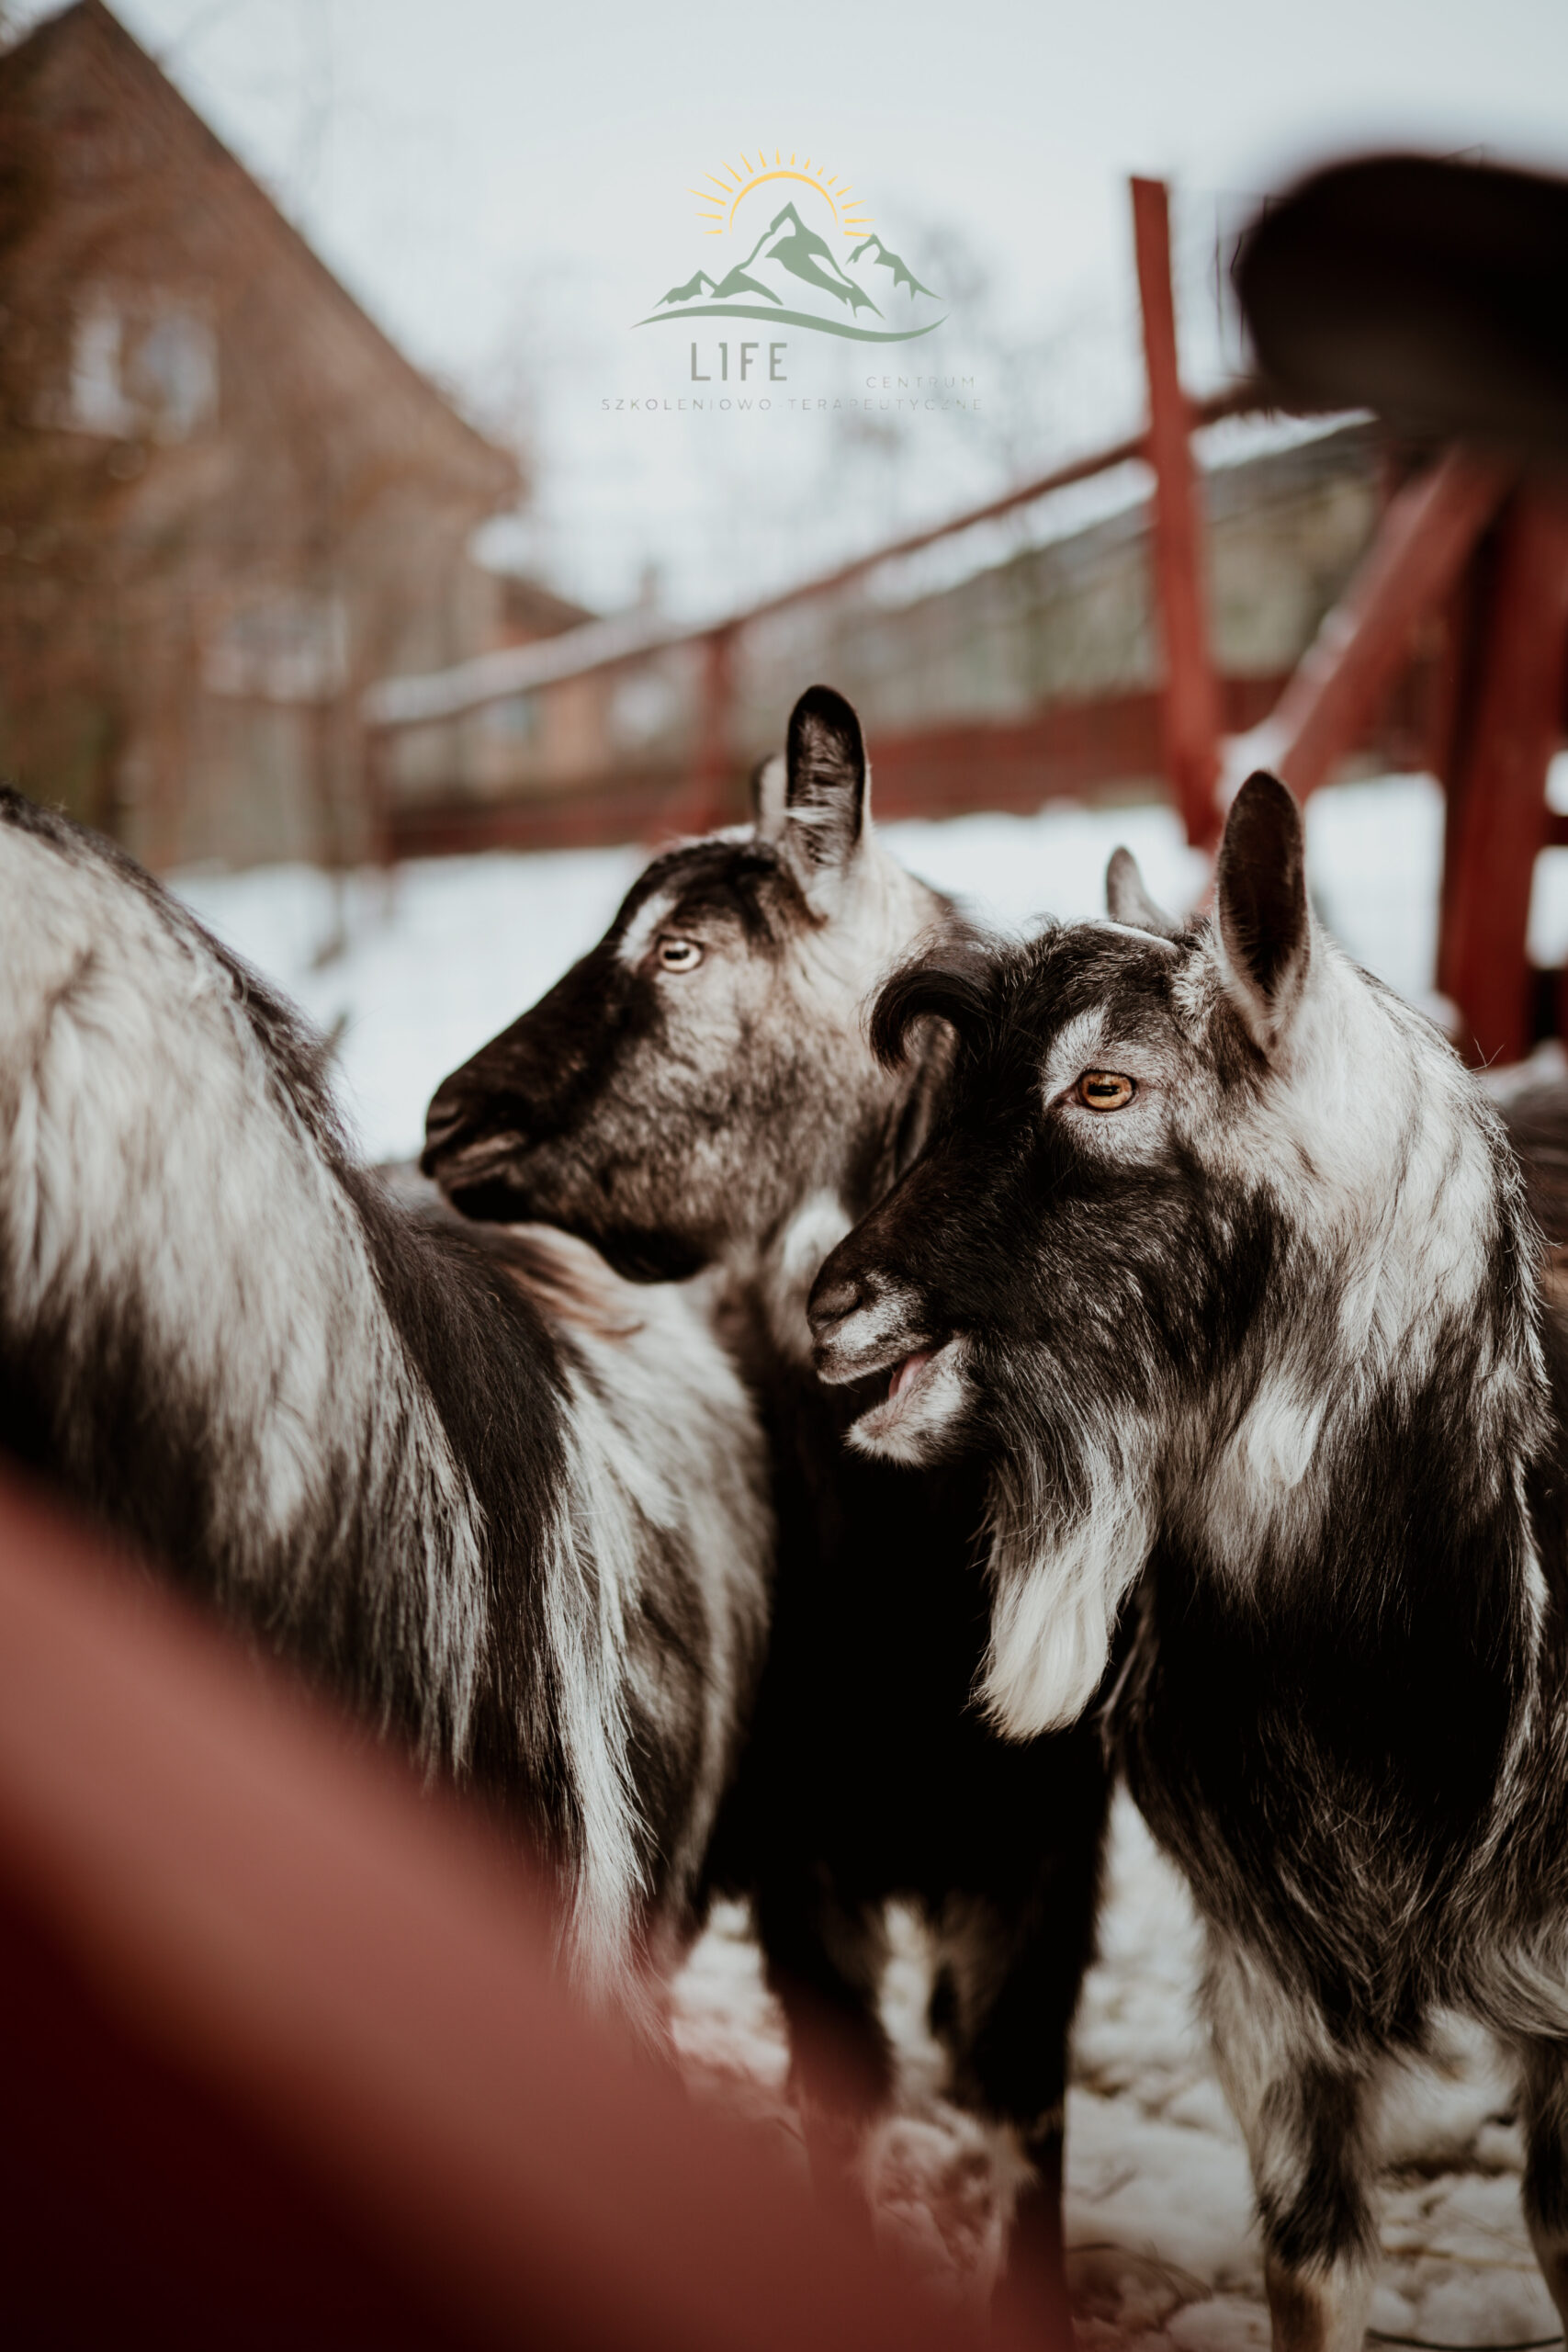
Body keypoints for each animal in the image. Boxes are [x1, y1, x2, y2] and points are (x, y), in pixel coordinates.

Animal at [421, 685, 1112, 2334]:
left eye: (681, 949)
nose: (449, 1121)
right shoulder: (804, 1858)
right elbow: (842, 2101)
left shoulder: (1047, 1852)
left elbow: (1022, 2112)